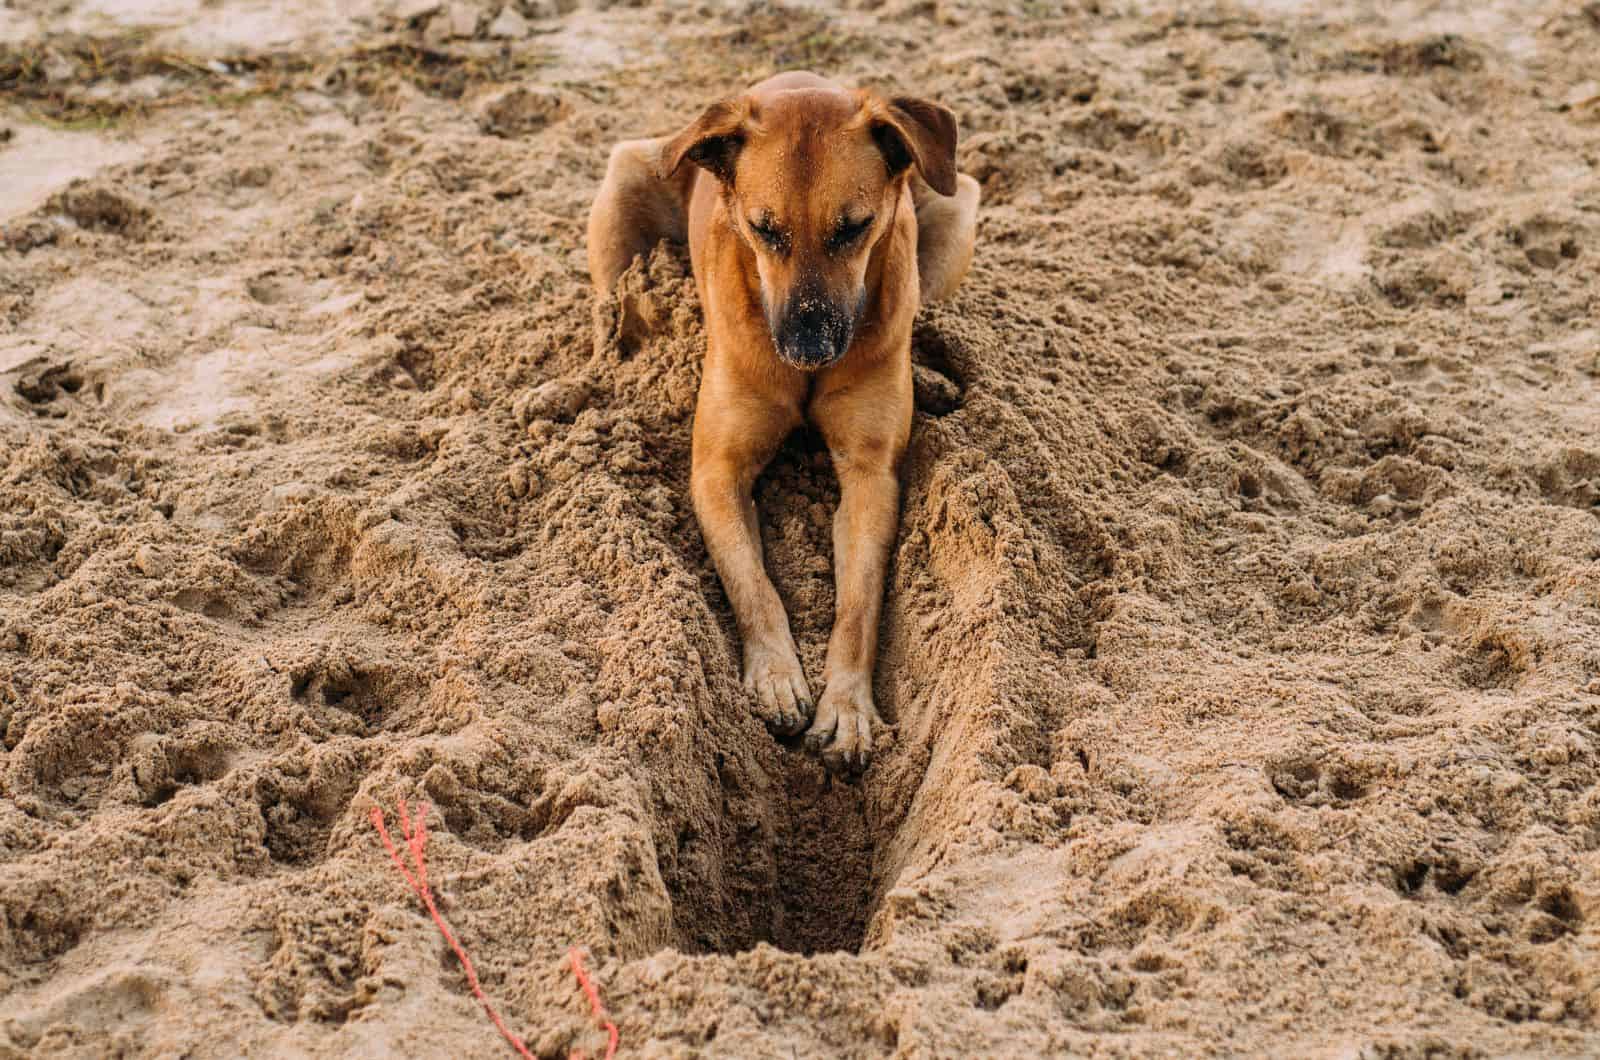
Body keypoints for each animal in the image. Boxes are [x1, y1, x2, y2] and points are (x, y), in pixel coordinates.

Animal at [588, 72, 979, 771]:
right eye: (762, 229)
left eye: (854, 228)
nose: (807, 347)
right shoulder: (717, 472)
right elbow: (752, 582)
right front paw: (775, 676)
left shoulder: (870, 476)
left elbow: (859, 602)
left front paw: (846, 706)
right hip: (624, 186)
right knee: (612, 309)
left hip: (957, 205)